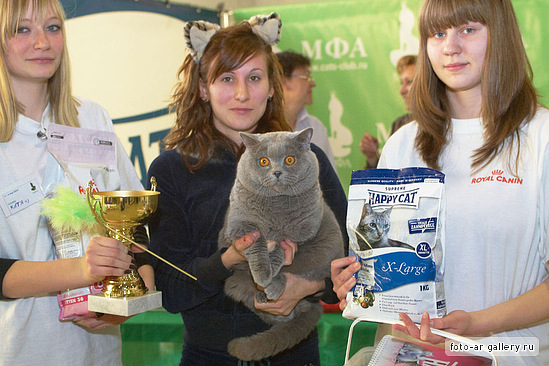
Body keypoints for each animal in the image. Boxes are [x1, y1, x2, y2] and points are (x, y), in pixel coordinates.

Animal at [218, 128, 342, 360]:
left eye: (289, 160)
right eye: (264, 161)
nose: (276, 172)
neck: (276, 208)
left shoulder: (302, 233)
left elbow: (281, 249)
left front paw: (269, 272)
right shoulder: (238, 227)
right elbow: (258, 242)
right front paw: (262, 273)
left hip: (323, 254)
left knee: (298, 273)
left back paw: (273, 288)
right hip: (234, 282)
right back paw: (262, 293)